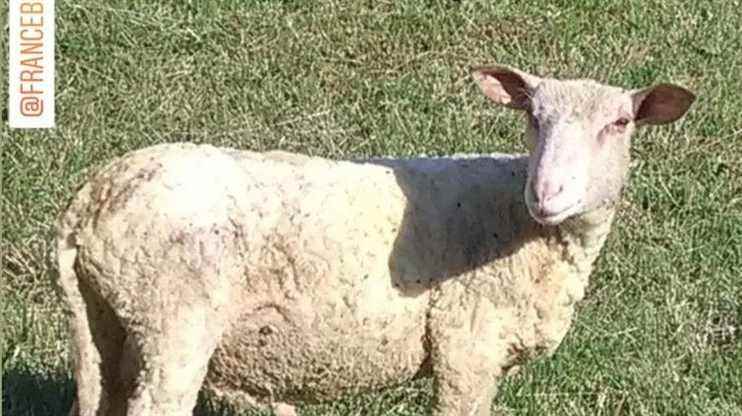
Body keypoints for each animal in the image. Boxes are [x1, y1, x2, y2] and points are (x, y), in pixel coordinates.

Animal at [56, 66, 696, 416]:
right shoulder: (466, 345)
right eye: (532, 117)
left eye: (620, 123)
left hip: (108, 320)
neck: (523, 226)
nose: (547, 192)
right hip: (173, 322)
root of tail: (87, 202)